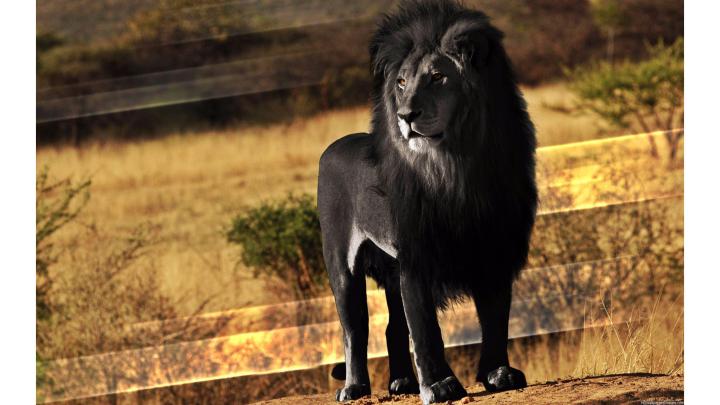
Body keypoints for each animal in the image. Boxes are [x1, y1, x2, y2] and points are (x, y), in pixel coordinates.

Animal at [317, 1, 537, 403]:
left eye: (437, 77)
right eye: (401, 83)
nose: (405, 115)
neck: (457, 166)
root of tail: (335, 145)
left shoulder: (495, 248)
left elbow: (496, 317)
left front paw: (499, 374)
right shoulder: (415, 255)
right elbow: (425, 328)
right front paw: (439, 386)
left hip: (389, 269)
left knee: (391, 327)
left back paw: (402, 382)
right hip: (341, 263)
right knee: (353, 328)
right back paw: (355, 387)